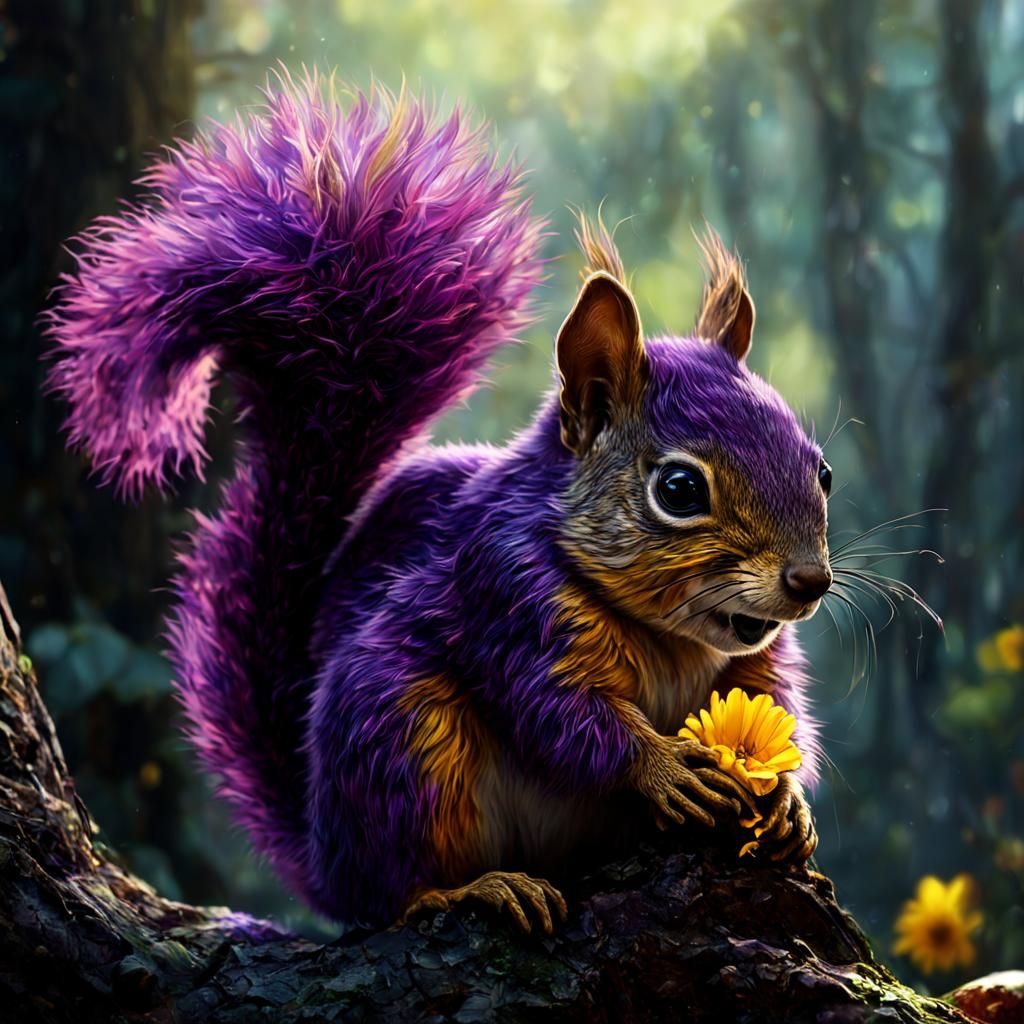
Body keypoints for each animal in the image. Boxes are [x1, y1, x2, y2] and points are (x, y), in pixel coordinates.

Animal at [45, 72, 831, 933]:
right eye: (680, 489)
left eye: (821, 470)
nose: (810, 583)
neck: (670, 637)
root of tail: (322, 855)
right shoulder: (505, 597)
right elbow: (560, 712)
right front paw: (664, 767)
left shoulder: (749, 662)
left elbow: (769, 700)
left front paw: (786, 799)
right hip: (401, 734)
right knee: (391, 894)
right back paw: (475, 888)